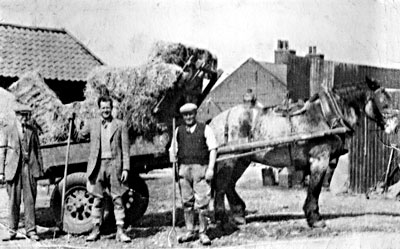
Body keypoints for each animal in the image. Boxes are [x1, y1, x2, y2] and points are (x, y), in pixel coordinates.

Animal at [209, 77, 400, 229]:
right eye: (384, 100)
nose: (395, 126)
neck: (327, 114)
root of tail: (214, 121)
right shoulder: (319, 159)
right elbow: (315, 189)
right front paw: (315, 218)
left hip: (242, 160)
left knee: (228, 185)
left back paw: (238, 214)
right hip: (229, 159)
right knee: (221, 185)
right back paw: (224, 219)